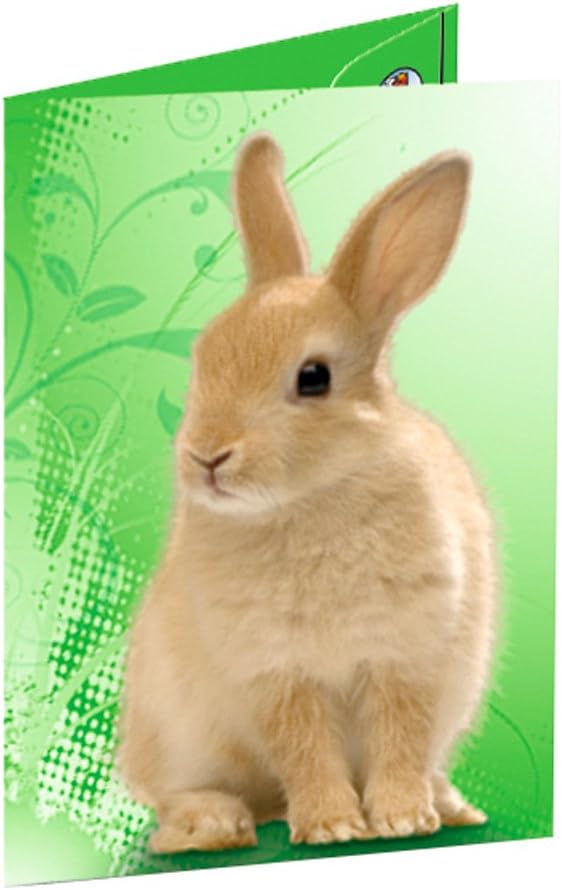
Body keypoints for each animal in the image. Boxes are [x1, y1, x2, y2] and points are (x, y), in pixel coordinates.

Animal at [118, 133, 497, 854]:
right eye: (204, 358)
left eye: (313, 377)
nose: (207, 456)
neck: (312, 498)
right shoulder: (276, 673)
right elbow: (305, 748)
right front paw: (333, 827)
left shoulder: (405, 654)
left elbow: (399, 739)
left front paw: (402, 819)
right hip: (173, 730)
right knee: (176, 796)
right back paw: (213, 826)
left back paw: (451, 804)